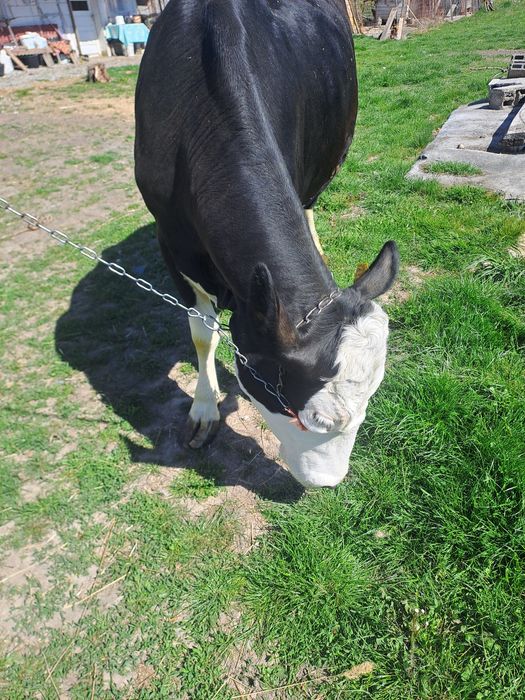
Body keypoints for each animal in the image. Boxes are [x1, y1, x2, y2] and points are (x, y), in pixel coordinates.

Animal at [135, 0, 399, 488]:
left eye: (372, 398)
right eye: (303, 418)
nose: (328, 486)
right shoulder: (172, 243)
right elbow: (202, 335)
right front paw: (204, 410)